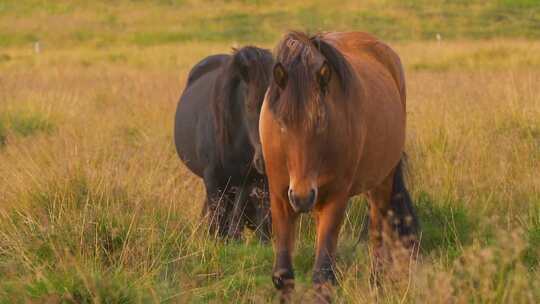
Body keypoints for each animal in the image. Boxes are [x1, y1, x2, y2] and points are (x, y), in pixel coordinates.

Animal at [174, 46, 272, 241]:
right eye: (249, 106)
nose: (264, 161)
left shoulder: (245, 178)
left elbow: (236, 215)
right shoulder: (212, 177)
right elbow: (216, 214)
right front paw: (215, 239)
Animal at [260, 31, 420, 302]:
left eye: (322, 122)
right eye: (281, 124)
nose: (302, 197)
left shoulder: (335, 199)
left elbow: (323, 274)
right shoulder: (280, 198)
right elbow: (283, 275)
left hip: (381, 182)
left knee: (378, 232)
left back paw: (376, 284)